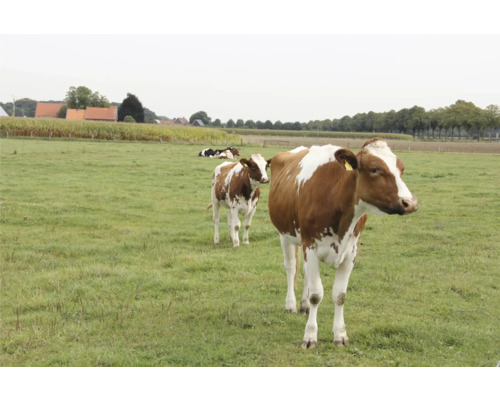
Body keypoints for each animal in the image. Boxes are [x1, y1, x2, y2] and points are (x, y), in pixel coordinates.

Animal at [270, 139, 418, 348]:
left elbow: (340, 295)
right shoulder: (311, 246)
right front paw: (310, 336)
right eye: (375, 169)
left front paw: (340, 335)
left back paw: (304, 305)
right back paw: (290, 305)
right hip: (285, 235)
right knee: (291, 268)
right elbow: (317, 295)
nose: (410, 203)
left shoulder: (350, 252)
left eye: (401, 168)